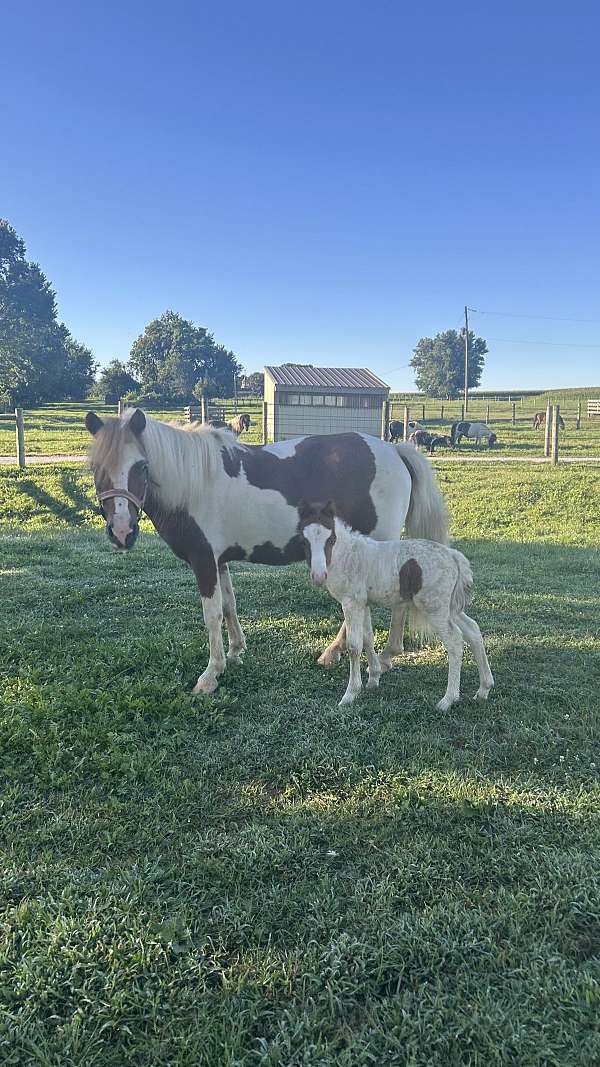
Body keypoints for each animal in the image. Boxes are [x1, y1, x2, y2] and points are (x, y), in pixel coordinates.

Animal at [86, 409, 449, 694]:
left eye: (141, 467)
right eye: (96, 468)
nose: (122, 532)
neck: (194, 481)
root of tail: (394, 450)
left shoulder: (203, 561)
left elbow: (211, 615)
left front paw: (211, 674)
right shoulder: (218, 561)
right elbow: (229, 606)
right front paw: (235, 651)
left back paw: (380, 655)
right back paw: (345, 653)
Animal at [298, 501, 494, 710]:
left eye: (331, 539)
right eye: (304, 541)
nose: (318, 576)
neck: (348, 556)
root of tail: (453, 555)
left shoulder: (351, 603)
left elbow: (354, 646)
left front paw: (350, 694)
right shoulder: (363, 604)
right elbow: (368, 638)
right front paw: (373, 679)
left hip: (435, 608)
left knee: (455, 641)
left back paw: (448, 700)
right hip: (450, 609)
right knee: (473, 630)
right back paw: (484, 689)